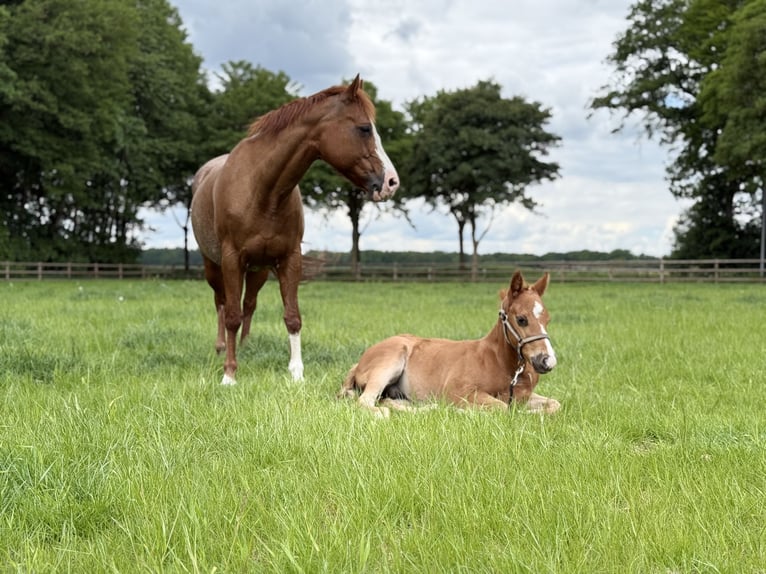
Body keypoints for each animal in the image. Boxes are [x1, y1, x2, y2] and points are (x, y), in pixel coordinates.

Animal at [191, 75, 399, 386]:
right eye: (364, 128)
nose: (391, 182)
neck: (263, 191)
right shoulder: (231, 260)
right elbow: (231, 315)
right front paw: (229, 375)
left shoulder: (289, 259)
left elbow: (292, 316)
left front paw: (297, 374)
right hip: (214, 267)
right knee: (222, 303)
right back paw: (221, 348)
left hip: (258, 270)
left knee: (249, 303)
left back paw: (245, 346)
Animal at [339, 270, 559, 417]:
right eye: (521, 319)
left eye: (548, 319)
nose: (547, 361)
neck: (501, 363)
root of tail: (359, 363)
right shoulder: (459, 391)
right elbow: (501, 408)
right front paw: (467, 412)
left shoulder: (523, 397)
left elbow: (555, 405)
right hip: (389, 362)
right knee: (368, 402)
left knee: (390, 401)